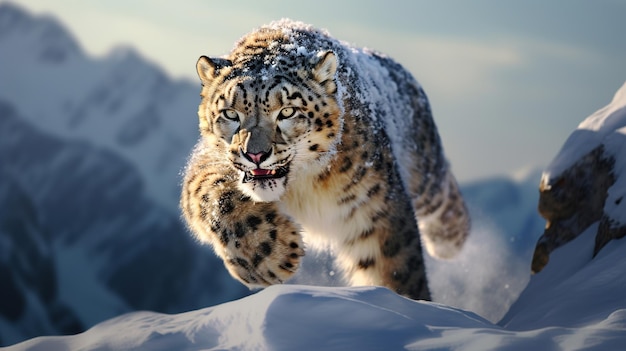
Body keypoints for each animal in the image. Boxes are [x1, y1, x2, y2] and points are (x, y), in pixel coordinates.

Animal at [178, 20, 466, 300]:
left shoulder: (376, 205)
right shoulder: (207, 160)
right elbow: (213, 195)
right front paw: (270, 255)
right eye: (230, 113)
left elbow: (397, 267)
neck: (299, 188)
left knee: (443, 190)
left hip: (425, 173)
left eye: (287, 111)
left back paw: (449, 241)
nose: (255, 154)